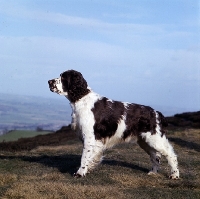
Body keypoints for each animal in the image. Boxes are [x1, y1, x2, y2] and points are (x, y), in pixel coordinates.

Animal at [48, 69, 180, 179]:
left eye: (64, 77)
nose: (49, 81)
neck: (82, 99)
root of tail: (156, 113)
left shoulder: (89, 137)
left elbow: (84, 157)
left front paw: (80, 173)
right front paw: (88, 169)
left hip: (155, 138)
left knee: (170, 154)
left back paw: (174, 175)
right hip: (144, 141)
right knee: (155, 156)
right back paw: (153, 172)